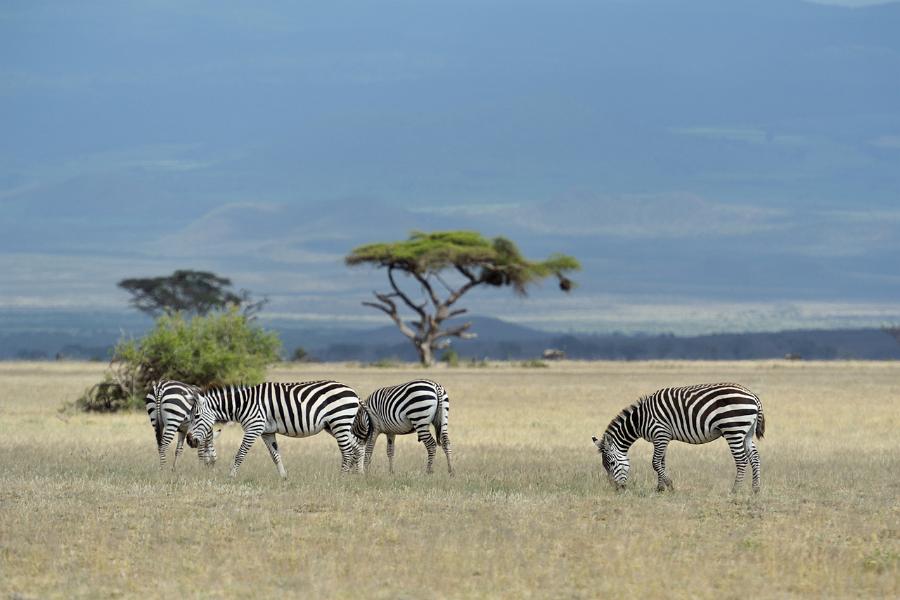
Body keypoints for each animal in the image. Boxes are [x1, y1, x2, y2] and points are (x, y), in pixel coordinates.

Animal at [185, 380, 364, 478]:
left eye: (196, 417)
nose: (189, 440)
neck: (243, 404)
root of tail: (353, 392)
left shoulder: (254, 428)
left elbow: (240, 454)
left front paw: (231, 476)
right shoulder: (267, 432)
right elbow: (275, 455)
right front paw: (284, 478)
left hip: (339, 422)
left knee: (347, 451)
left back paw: (342, 478)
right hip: (335, 426)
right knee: (358, 446)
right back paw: (359, 475)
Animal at [592, 384, 768, 492]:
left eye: (612, 464)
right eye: (604, 466)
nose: (617, 489)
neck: (640, 420)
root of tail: (753, 395)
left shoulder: (660, 433)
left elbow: (655, 462)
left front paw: (669, 486)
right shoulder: (661, 438)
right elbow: (661, 462)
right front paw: (660, 488)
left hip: (733, 429)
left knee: (741, 460)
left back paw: (735, 490)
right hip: (747, 432)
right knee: (755, 457)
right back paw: (756, 489)